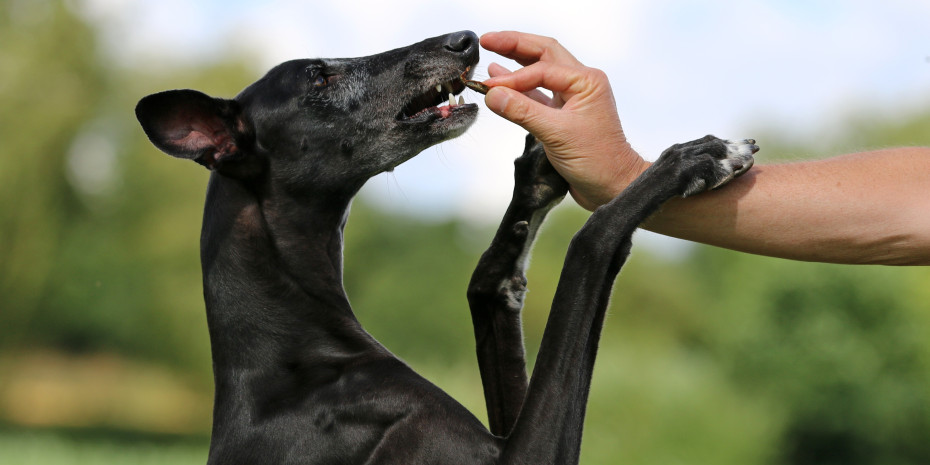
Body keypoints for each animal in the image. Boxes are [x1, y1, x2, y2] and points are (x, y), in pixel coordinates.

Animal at [136, 30, 752, 462]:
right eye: (319, 79)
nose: (464, 39)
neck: (295, 354)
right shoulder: (523, 455)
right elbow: (592, 241)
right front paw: (695, 158)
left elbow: (485, 282)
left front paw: (539, 174)